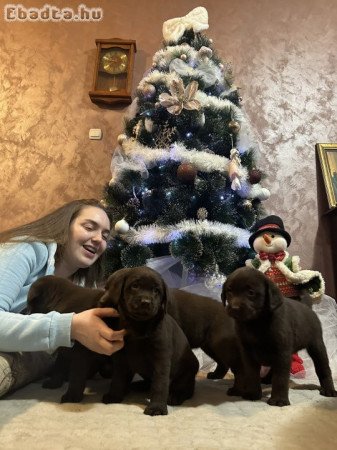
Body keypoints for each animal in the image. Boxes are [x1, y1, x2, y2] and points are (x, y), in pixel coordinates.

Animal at [220, 266, 336, 406]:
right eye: (229, 291)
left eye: (251, 292)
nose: (234, 308)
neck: (256, 323)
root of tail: (308, 308)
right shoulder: (247, 353)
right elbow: (251, 374)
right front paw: (252, 394)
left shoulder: (282, 353)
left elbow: (280, 378)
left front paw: (279, 400)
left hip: (317, 345)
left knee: (324, 369)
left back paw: (329, 390)